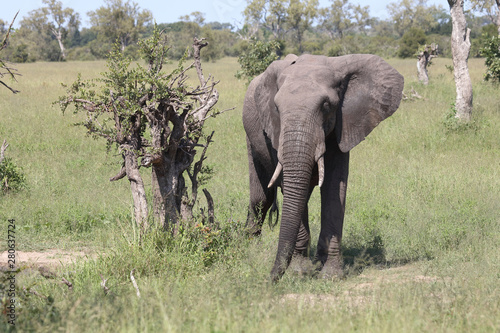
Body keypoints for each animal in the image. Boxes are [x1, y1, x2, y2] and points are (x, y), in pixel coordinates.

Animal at [244, 52, 404, 280]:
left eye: (326, 106)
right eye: (276, 108)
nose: (270, 279)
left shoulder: (344, 123)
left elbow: (334, 187)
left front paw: (330, 275)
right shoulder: (275, 131)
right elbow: (290, 187)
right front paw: (300, 272)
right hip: (252, 139)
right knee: (261, 198)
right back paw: (249, 247)